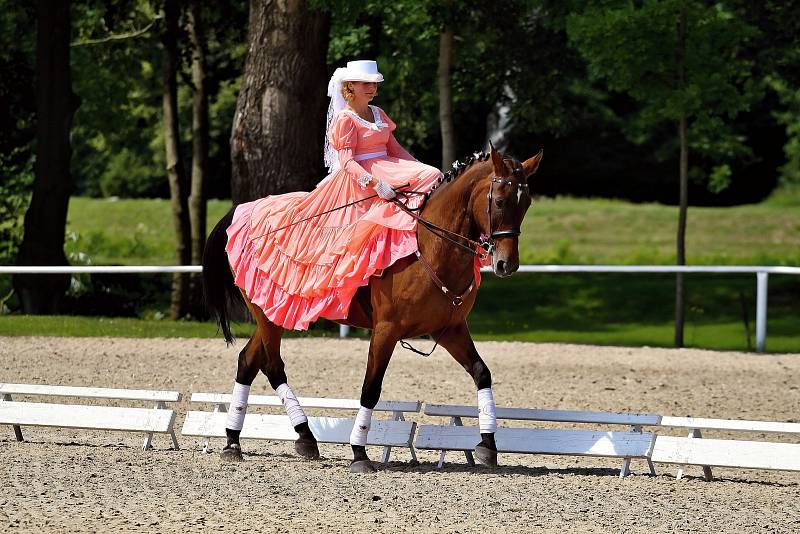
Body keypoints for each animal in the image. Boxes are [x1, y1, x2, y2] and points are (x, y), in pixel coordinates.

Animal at [206, 146, 544, 474]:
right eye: (499, 201)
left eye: (526, 203)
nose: (506, 265)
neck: (431, 246)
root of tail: (243, 209)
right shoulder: (386, 330)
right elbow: (371, 387)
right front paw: (359, 453)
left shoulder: (449, 329)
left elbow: (481, 372)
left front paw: (487, 444)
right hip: (268, 314)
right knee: (273, 365)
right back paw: (296, 437)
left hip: (275, 314)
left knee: (248, 362)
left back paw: (238, 441)